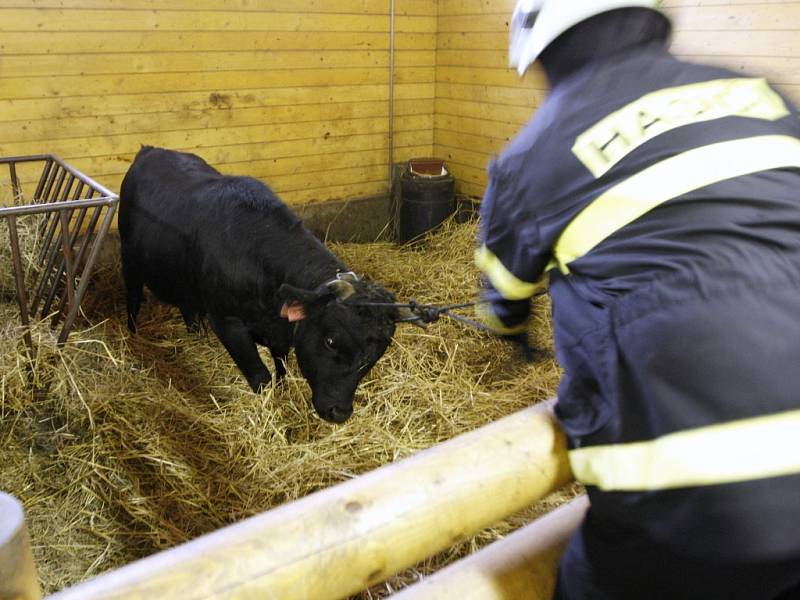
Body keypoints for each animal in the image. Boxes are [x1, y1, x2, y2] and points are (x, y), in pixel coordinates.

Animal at [122, 147, 416, 424]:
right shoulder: (227, 322)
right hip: (129, 262)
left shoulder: (280, 330)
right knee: (132, 300)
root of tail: (150, 150)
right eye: (331, 341)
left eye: (374, 356)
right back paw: (133, 338)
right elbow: (260, 376)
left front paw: (283, 388)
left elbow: (281, 364)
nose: (339, 412)